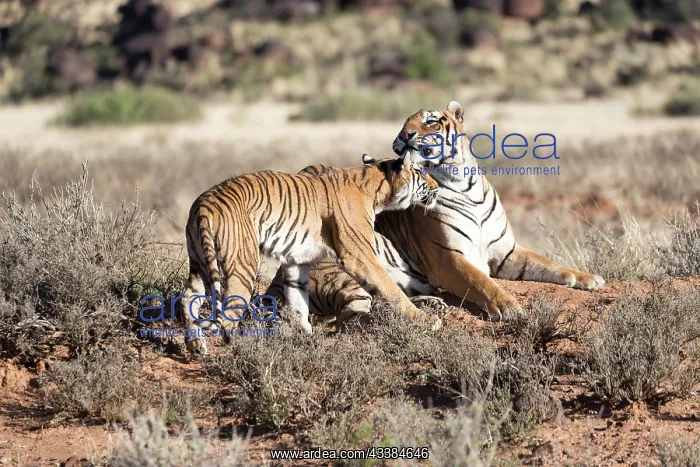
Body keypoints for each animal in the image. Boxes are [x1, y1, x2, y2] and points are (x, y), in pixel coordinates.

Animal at [179, 153, 440, 354]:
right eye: (419, 171)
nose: (436, 187)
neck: (376, 189)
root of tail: (204, 203)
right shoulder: (358, 254)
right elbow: (391, 288)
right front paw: (425, 320)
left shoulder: (297, 260)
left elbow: (298, 302)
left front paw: (305, 336)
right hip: (242, 264)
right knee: (227, 314)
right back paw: (242, 349)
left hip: (199, 263)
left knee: (188, 298)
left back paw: (195, 345)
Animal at [266, 100, 605, 325]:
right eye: (403, 126)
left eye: (430, 121)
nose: (404, 137)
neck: (462, 182)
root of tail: (274, 283)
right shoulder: (449, 258)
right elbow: (482, 282)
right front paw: (510, 306)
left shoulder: (505, 252)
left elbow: (549, 265)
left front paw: (588, 279)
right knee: (364, 308)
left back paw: (433, 304)